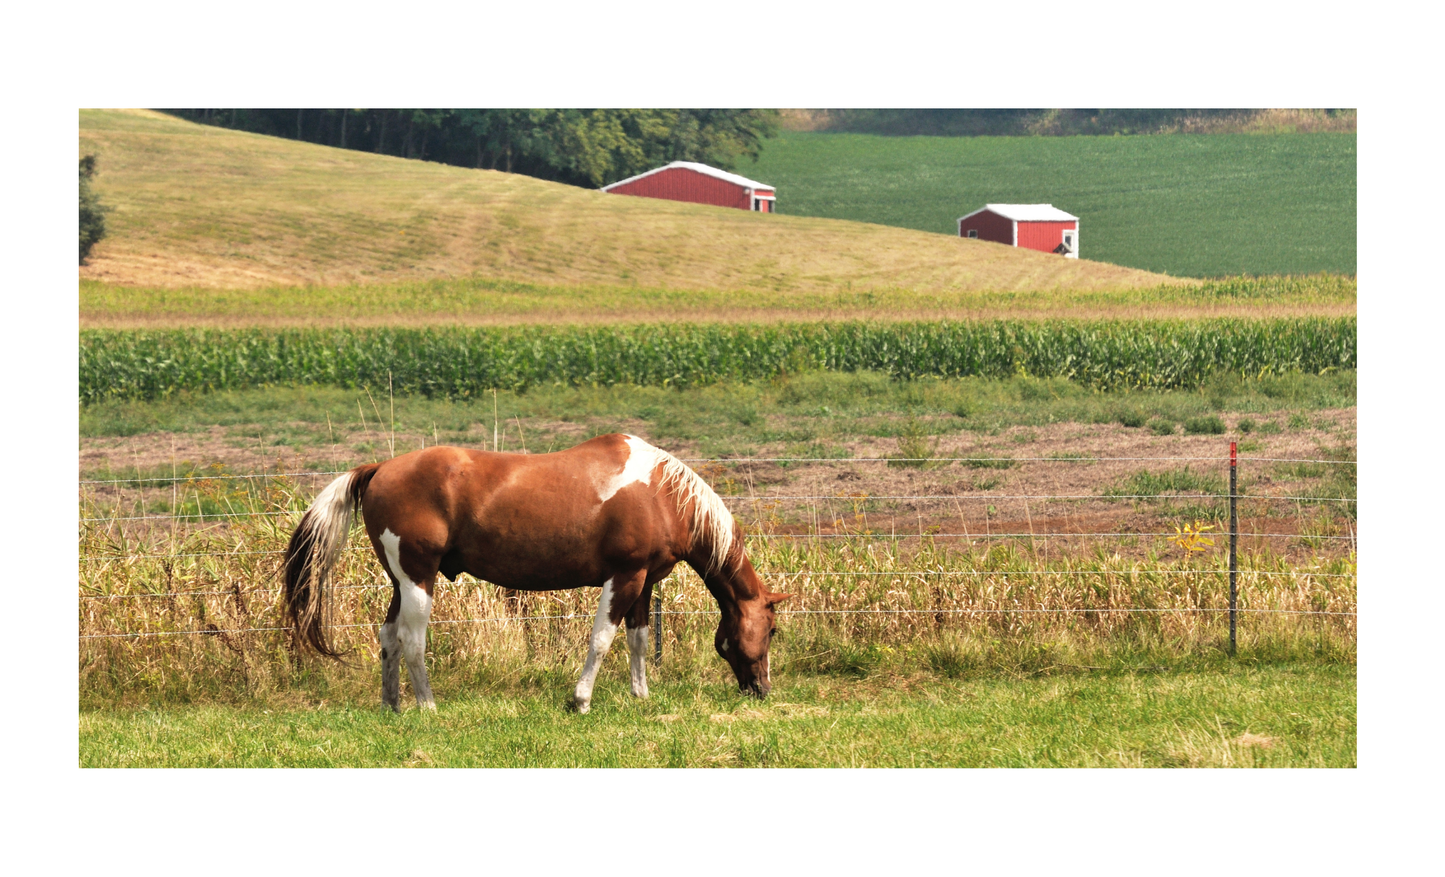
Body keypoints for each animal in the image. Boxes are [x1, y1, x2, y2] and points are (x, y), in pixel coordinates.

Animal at [281, 433, 791, 713]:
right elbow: (601, 640)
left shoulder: (644, 583)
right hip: (417, 579)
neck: (661, 493)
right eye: (771, 630)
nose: (762, 689)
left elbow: (638, 641)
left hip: (400, 582)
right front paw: (580, 700)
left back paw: (393, 704)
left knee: (388, 636)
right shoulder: (622, 578)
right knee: (411, 640)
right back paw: (426, 703)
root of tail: (380, 467)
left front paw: (641, 695)